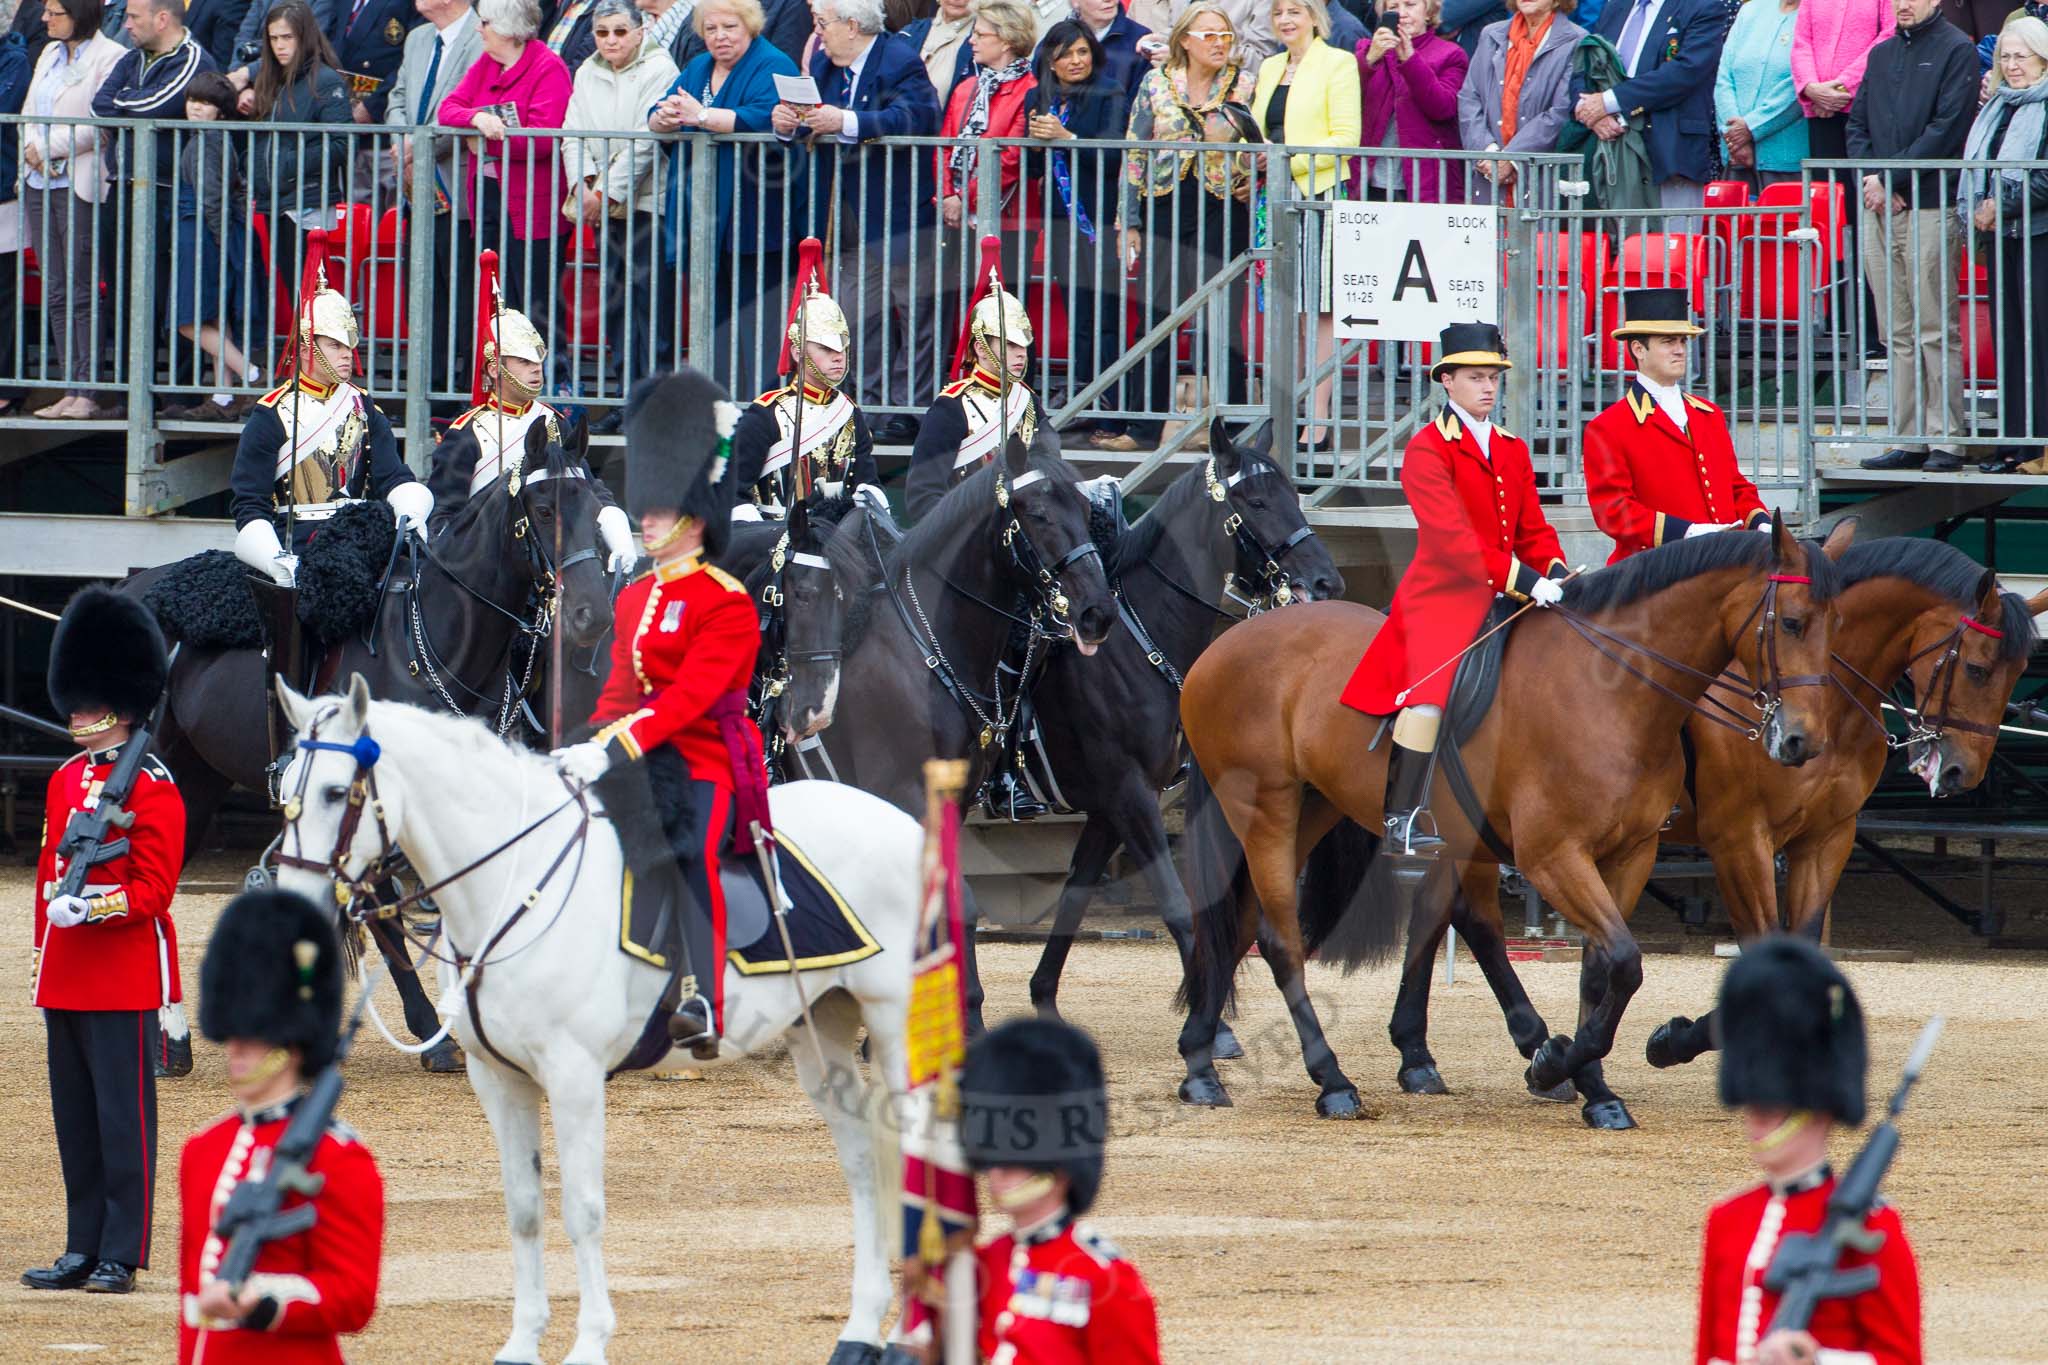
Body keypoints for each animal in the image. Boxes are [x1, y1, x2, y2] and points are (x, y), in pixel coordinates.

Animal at [120, 427, 610, 1064]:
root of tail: (134, 586)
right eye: (545, 510)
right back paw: (167, 1037)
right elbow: (385, 915)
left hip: (198, 779)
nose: (593, 615)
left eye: (597, 508)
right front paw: (432, 1031)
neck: (435, 644)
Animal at [270, 679, 921, 1365]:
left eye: (335, 793)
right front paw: (522, 1341)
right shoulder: (498, 1080)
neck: (513, 880)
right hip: (821, 1033)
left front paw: (588, 1342)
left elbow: (582, 1209)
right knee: (862, 1164)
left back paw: (906, 1336)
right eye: (285, 795)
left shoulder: (573, 1075)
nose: (296, 902)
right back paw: (860, 1332)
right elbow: (524, 1206)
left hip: (893, 1021)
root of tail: (900, 820)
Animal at [1024, 427, 1343, 1047]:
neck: (1131, 644)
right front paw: (1212, 1026)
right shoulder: (1130, 797)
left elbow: (1074, 899)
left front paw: (1043, 998)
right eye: (1257, 502)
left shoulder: (1113, 805)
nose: (1326, 581)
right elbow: (1176, 905)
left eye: (1295, 494)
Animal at [1171, 517, 1843, 1129]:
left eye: (1834, 624)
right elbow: (1626, 962)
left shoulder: (1630, 855)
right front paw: (1553, 1065)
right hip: (1267, 808)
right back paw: (1333, 1081)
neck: (1613, 692)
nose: (1803, 742)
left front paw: (1594, 1088)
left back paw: (1201, 1067)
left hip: (1313, 806)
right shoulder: (1553, 857)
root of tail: (1226, 642)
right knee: (1280, 939)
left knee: (1240, 926)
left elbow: (1602, 972)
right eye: (1791, 622)